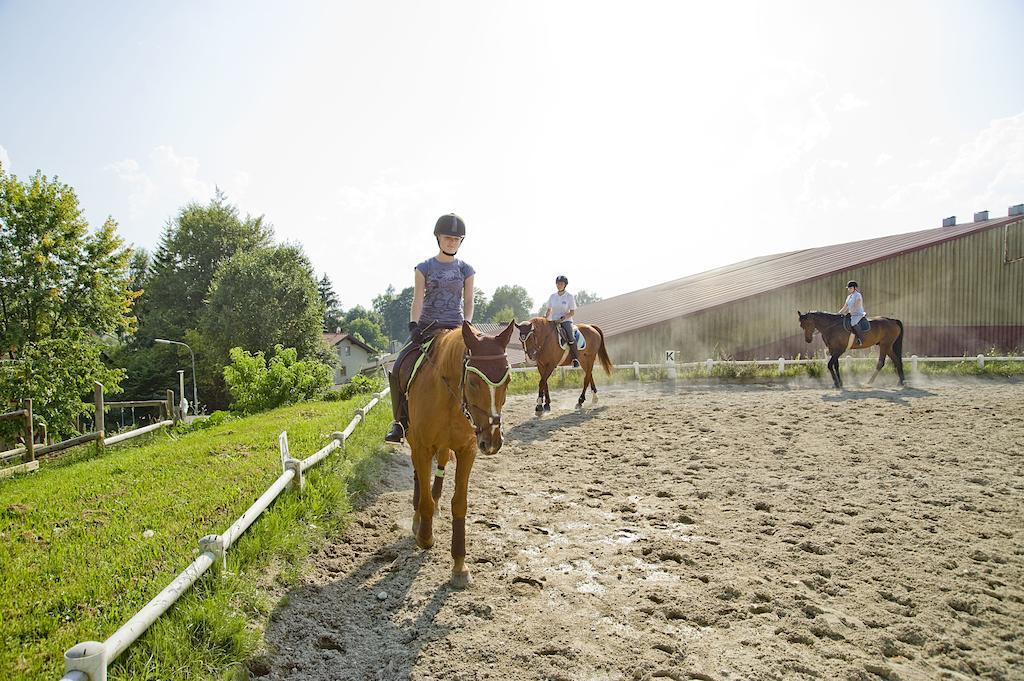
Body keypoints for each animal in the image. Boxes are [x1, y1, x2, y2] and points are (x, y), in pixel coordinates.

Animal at [399, 321, 512, 585]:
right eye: (472, 382)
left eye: (508, 380)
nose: (492, 441)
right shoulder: (422, 447)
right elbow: (425, 500)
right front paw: (425, 537)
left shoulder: (467, 450)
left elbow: (459, 503)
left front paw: (460, 565)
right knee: (420, 479)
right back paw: (418, 520)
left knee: (439, 468)